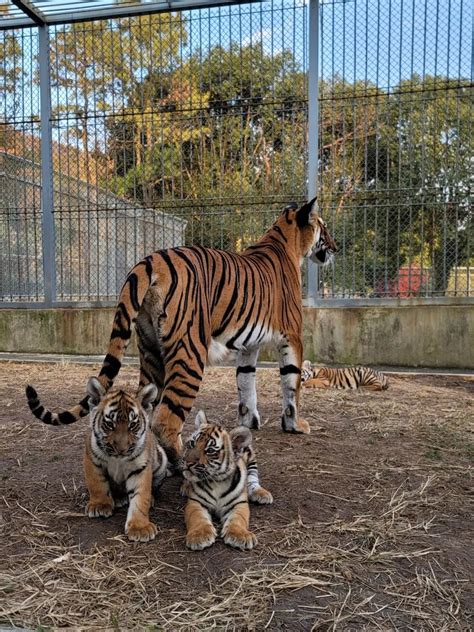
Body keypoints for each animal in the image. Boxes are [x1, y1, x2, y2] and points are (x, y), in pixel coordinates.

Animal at [25, 200, 336, 462]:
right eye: (324, 227)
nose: (334, 247)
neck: (285, 241)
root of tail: (148, 261)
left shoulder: (249, 345)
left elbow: (246, 383)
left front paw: (249, 422)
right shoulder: (292, 336)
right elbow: (291, 383)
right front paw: (295, 424)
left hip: (150, 349)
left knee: (144, 410)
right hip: (190, 353)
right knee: (164, 419)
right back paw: (180, 461)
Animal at [26, 378, 167, 540]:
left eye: (132, 425)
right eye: (110, 424)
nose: (122, 449)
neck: (117, 458)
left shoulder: (140, 467)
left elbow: (140, 496)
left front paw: (140, 528)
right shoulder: (92, 459)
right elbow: (97, 484)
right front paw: (100, 506)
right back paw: (118, 498)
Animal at [180, 410, 272, 548]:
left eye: (210, 450)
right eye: (192, 443)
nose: (187, 462)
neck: (217, 481)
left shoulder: (238, 504)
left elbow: (238, 519)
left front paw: (240, 535)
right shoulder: (196, 502)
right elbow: (197, 518)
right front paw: (199, 536)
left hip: (250, 455)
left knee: (252, 477)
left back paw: (260, 493)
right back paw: (185, 487)